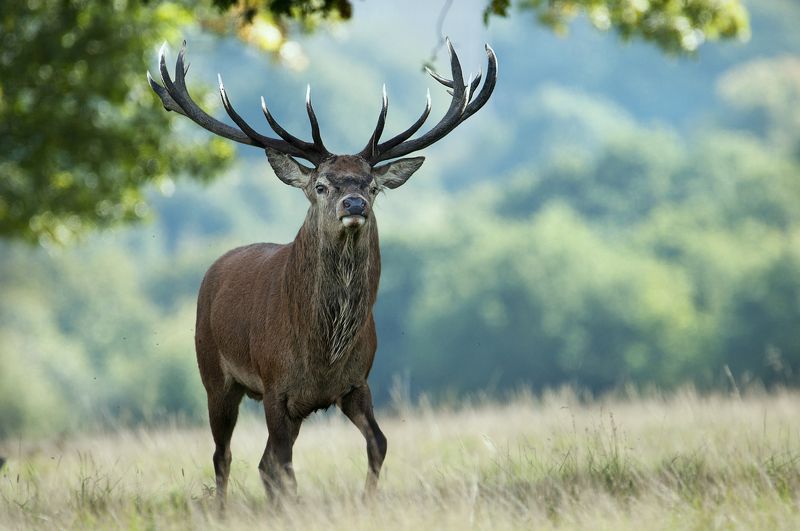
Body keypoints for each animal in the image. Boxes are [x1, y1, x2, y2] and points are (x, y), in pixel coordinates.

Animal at [147, 39, 497, 502]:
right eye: (321, 185)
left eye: (373, 186)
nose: (355, 204)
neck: (322, 352)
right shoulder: (276, 386)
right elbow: (283, 464)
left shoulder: (356, 383)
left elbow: (378, 443)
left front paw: (367, 501)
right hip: (214, 375)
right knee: (224, 456)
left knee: (260, 463)